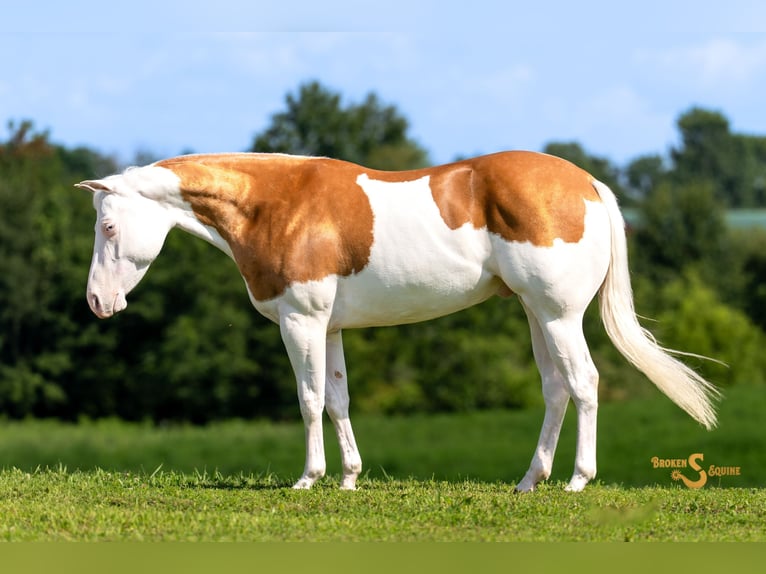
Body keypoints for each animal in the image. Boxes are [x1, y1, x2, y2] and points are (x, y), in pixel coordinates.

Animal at [76, 150, 719, 492]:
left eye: (107, 225)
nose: (98, 303)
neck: (275, 205)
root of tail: (585, 182)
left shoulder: (301, 322)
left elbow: (309, 400)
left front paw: (309, 478)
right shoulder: (330, 327)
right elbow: (338, 400)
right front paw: (349, 477)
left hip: (559, 315)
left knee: (583, 383)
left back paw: (578, 479)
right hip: (536, 314)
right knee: (556, 389)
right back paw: (529, 481)